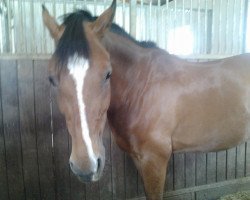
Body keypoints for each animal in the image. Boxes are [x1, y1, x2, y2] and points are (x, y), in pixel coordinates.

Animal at [43, 1, 250, 198]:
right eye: (51, 79)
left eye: (108, 74)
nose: (86, 166)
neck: (142, 89)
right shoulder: (139, 158)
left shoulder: (155, 159)